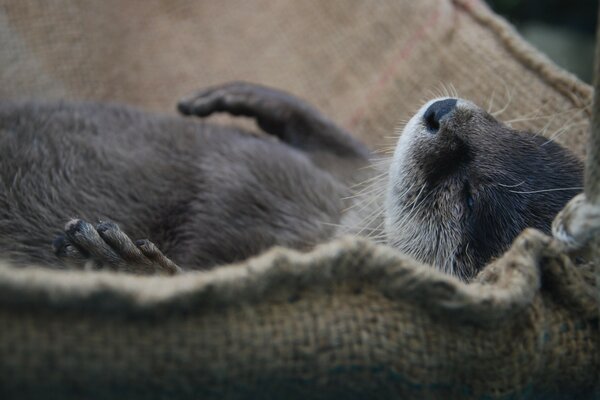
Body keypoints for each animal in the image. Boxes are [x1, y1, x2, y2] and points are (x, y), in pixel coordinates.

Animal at [0, 83, 584, 280]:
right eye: (513, 130)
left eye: (469, 197)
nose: (442, 114)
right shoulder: (339, 181)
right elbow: (341, 149)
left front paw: (124, 264)